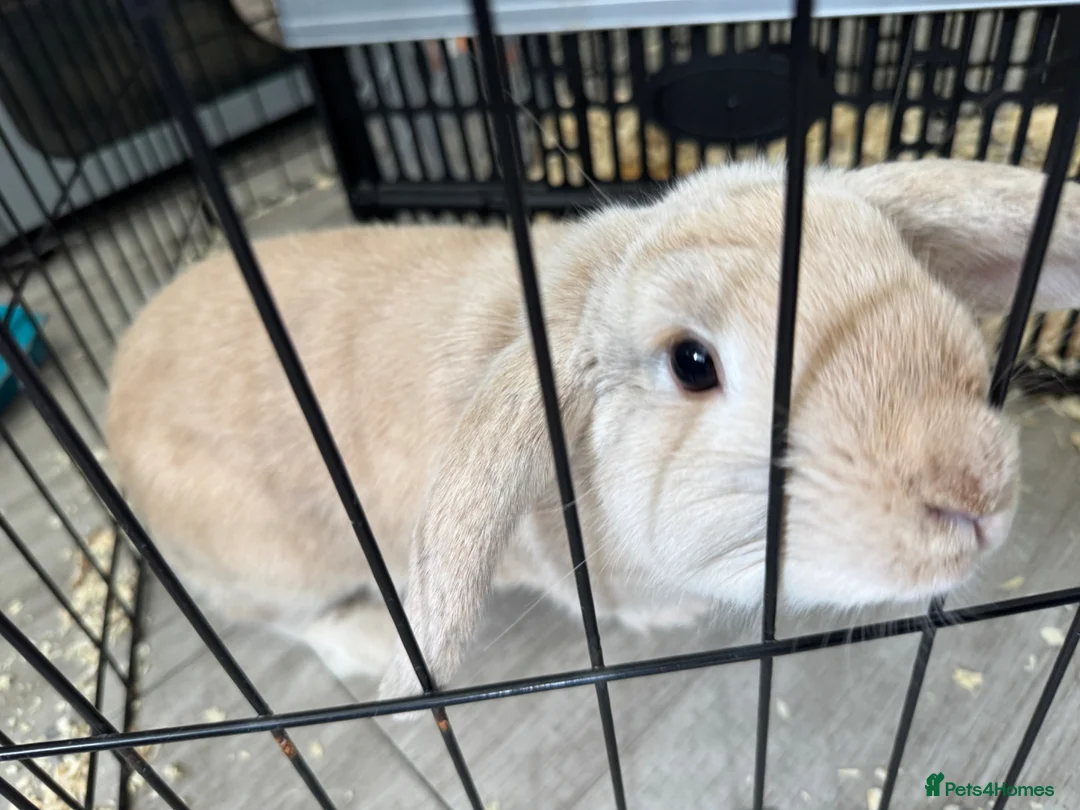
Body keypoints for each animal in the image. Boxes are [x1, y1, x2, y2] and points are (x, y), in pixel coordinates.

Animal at [104, 157, 1080, 710]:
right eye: (692, 362)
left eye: (905, 268)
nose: (975, 494)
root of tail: (115, 387)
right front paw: (672, 614)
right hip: (278, 565)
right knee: (292, 623)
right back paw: (377, 642)